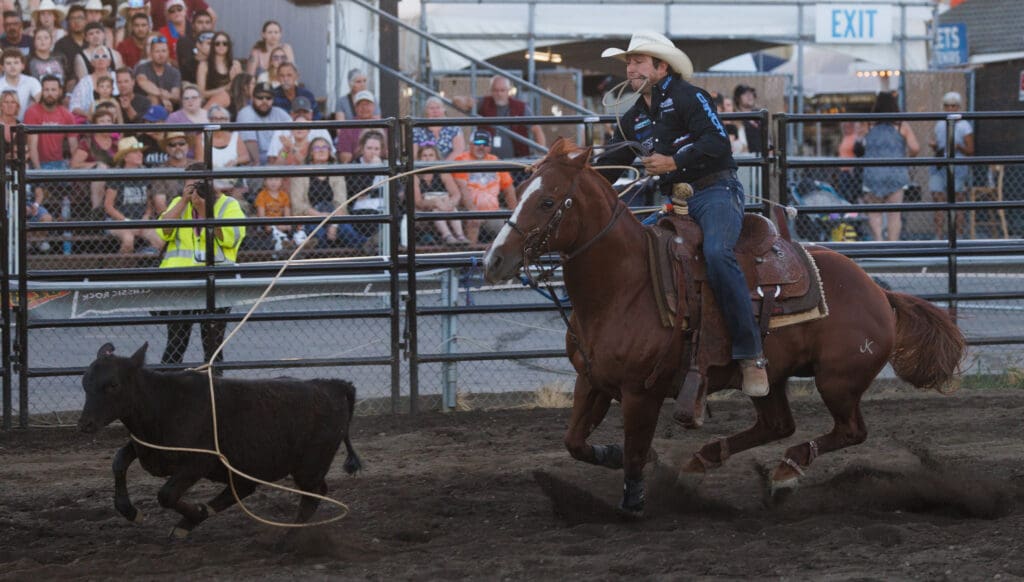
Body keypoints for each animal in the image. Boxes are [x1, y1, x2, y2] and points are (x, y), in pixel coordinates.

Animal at [483, 138, 962, 516]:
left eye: (548, 201)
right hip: (772, 378)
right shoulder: (593, 381)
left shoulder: (641, 392)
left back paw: (785, 472)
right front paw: (614, 454)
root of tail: (879, 291)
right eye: (519, 191)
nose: (494, 261)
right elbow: (576, 442)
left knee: (849, 431)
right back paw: (705, 460)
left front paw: (634, 501)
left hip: (838, 380)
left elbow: (636, 450)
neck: (626, 285)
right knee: (778, 424)